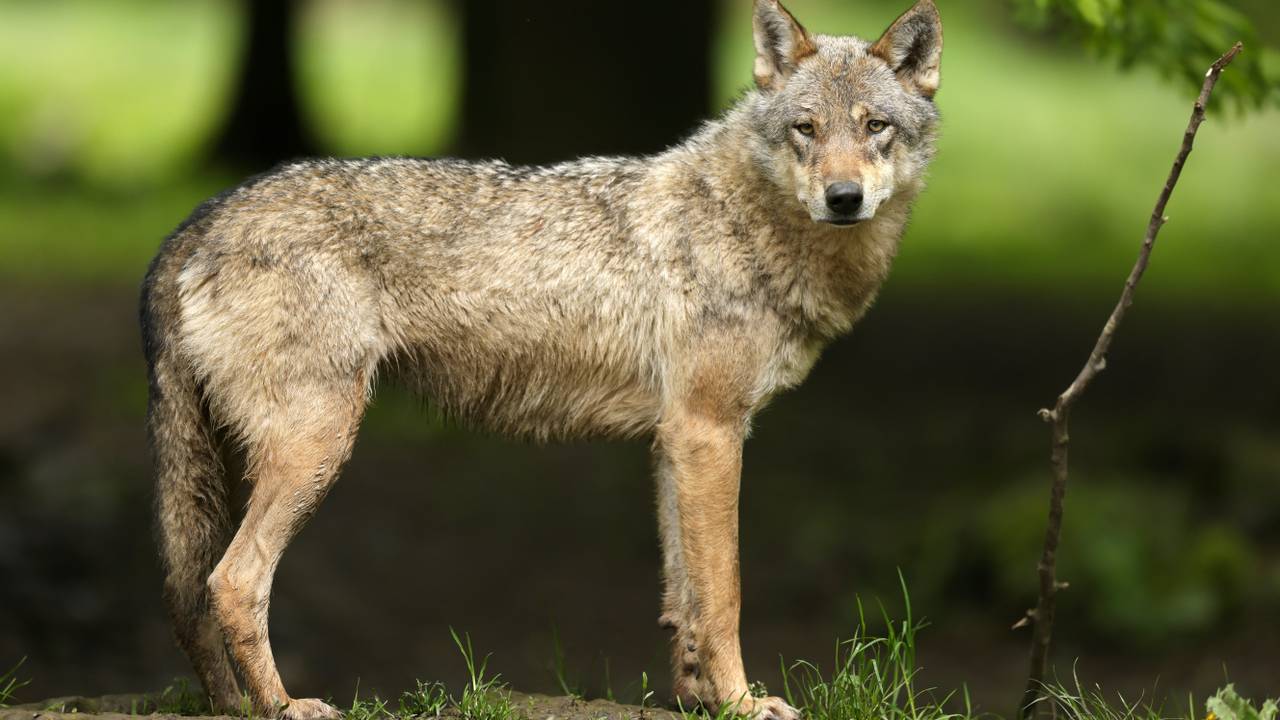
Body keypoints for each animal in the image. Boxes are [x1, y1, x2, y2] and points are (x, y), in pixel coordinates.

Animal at [137, 2, 942, 712]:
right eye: (806, 129)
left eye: (875, 128)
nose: (844, 197)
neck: (746, 222)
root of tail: (202, 216)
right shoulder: (710, 433)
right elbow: (723, 596)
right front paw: (743, 704)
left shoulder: (676, 441)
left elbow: (683, 597)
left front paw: (699, 701)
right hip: (315, 450)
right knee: (234, 581)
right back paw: (284, 706)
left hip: (238, 466)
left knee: (193, 591)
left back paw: (235, 704)